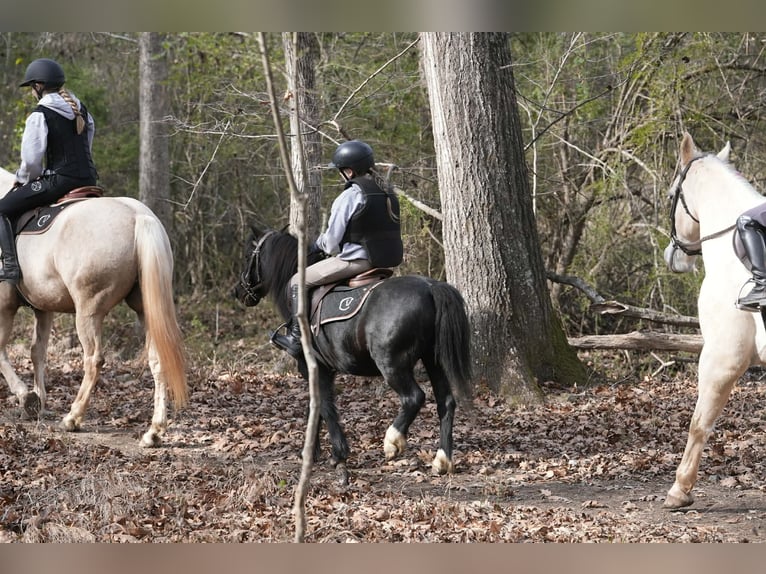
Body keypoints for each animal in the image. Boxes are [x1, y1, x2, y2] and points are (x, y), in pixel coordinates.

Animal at [0, 166, 188, 446]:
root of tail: (138, 216)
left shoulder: (5, 306)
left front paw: (27, 398)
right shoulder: (44, 309)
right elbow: (37, 352)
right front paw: (39, 403)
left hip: (88, 312)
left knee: (93, 360)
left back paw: (73, 418)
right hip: (145, 311)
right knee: (157, 360)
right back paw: (153, 432)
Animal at [233, 224, 473, 481]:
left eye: (247, 256)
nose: (237, 292)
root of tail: (430, 287)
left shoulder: (312, 367)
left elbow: (324, 406)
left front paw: (337, 454)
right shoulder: (322, 370)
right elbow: (316, 407)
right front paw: (312, 451)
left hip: (392, 364)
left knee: (414, 398)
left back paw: (392, 441)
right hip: (432, 360)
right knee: (446, 402)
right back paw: (442, 461)